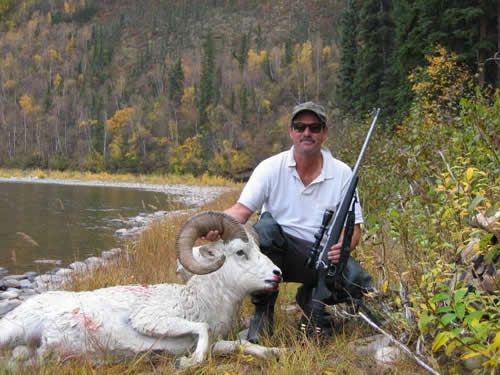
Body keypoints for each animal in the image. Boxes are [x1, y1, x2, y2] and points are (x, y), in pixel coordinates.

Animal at [0, 213, 282, 368]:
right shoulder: (150, 320)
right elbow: (201, 329)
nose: (276, 274)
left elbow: (240, 345)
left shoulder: (216, 342)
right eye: (240, 252)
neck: (202, 301)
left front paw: (275, 352)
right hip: (11, 330)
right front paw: (188, 363)